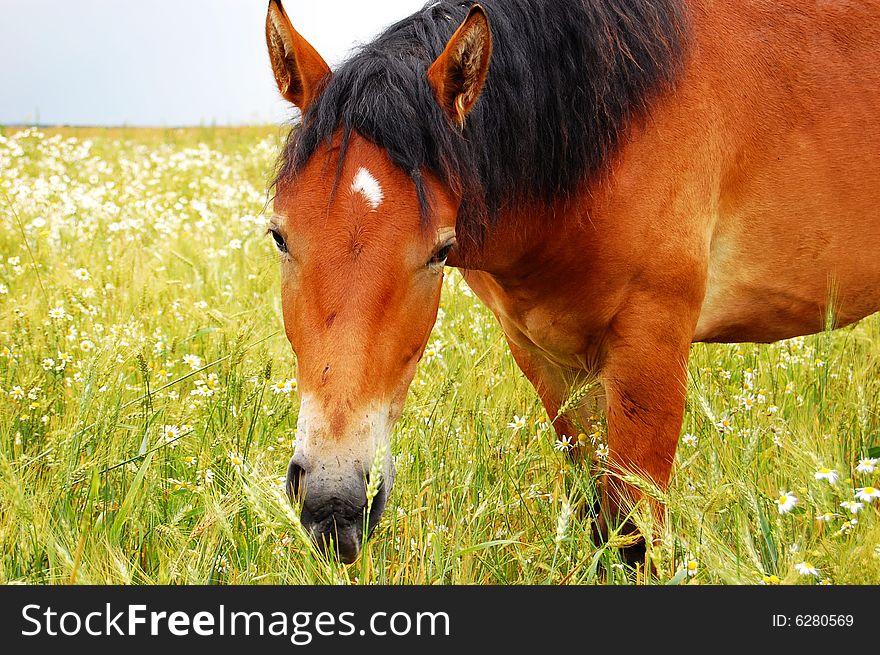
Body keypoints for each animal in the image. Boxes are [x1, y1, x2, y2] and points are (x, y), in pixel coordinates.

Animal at [264, 0, 880, 564]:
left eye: (440, 251)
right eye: (278, 236)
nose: (335, 503)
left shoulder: (651, 349)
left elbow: (634, 535)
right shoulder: (548, 359)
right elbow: (597, 518)